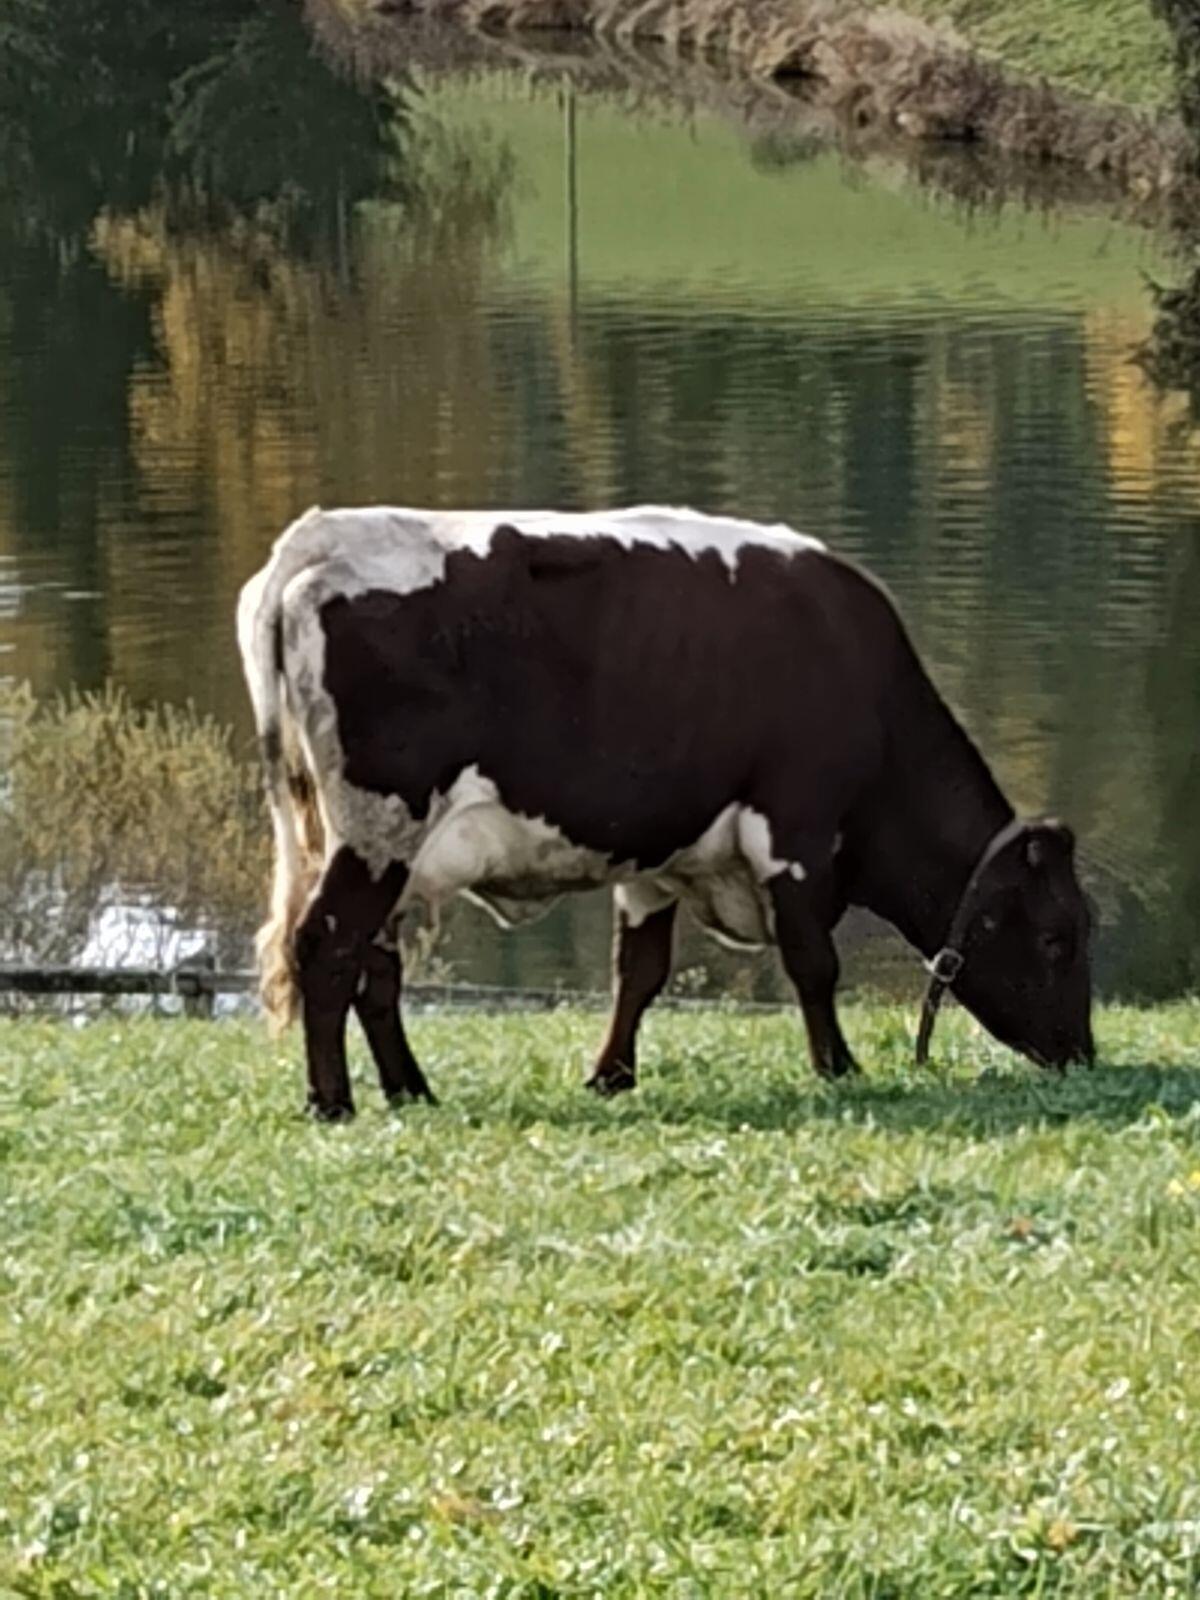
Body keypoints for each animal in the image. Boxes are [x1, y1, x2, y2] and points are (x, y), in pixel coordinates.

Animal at [237, 504, 1094, 1120]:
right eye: (1058, 937)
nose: (1081, 1055)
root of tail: (317, 539)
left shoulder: (650, 854)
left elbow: (639, 971)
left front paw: (611, 1075)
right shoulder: (795, 831)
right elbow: (813, 961)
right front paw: (838, 1067)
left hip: (376, 845)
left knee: (373, 967)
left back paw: (410, 1090)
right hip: (378, 829)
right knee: (327, 946)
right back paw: (332, 1102)